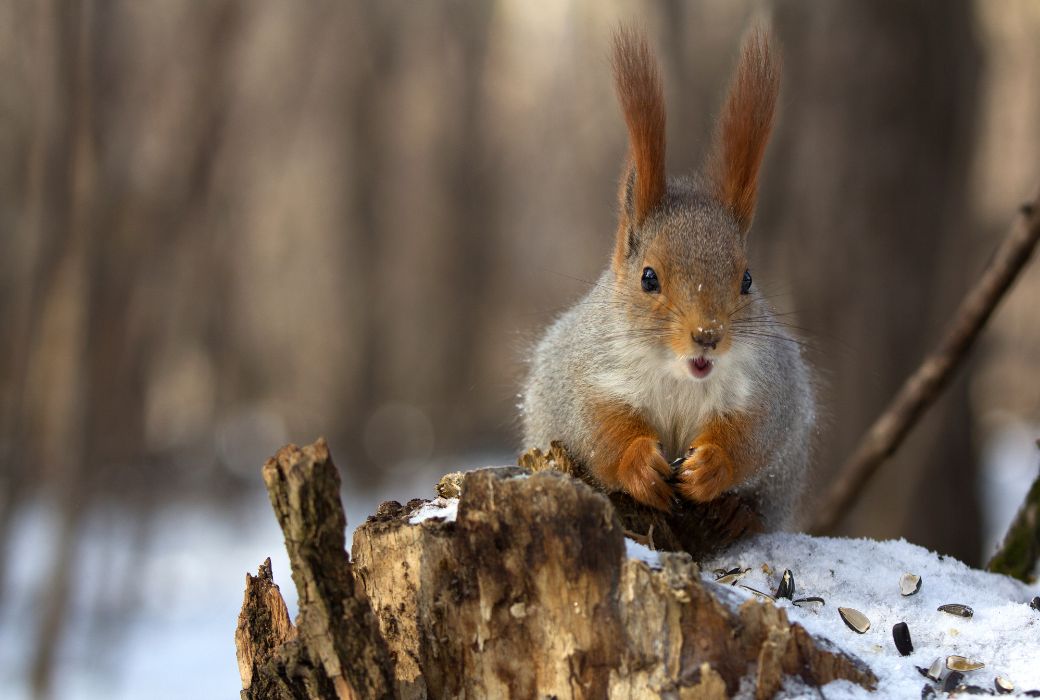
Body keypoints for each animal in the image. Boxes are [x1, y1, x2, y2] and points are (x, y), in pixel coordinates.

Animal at [520, 27, 811, 530]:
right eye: (648, 278)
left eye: (747, 279)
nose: (708, 336)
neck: (678, 375)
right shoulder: (583, 376)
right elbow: (599, 429)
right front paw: (639, 464)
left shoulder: (770, 385)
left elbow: (755, 432)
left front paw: (712, 466)